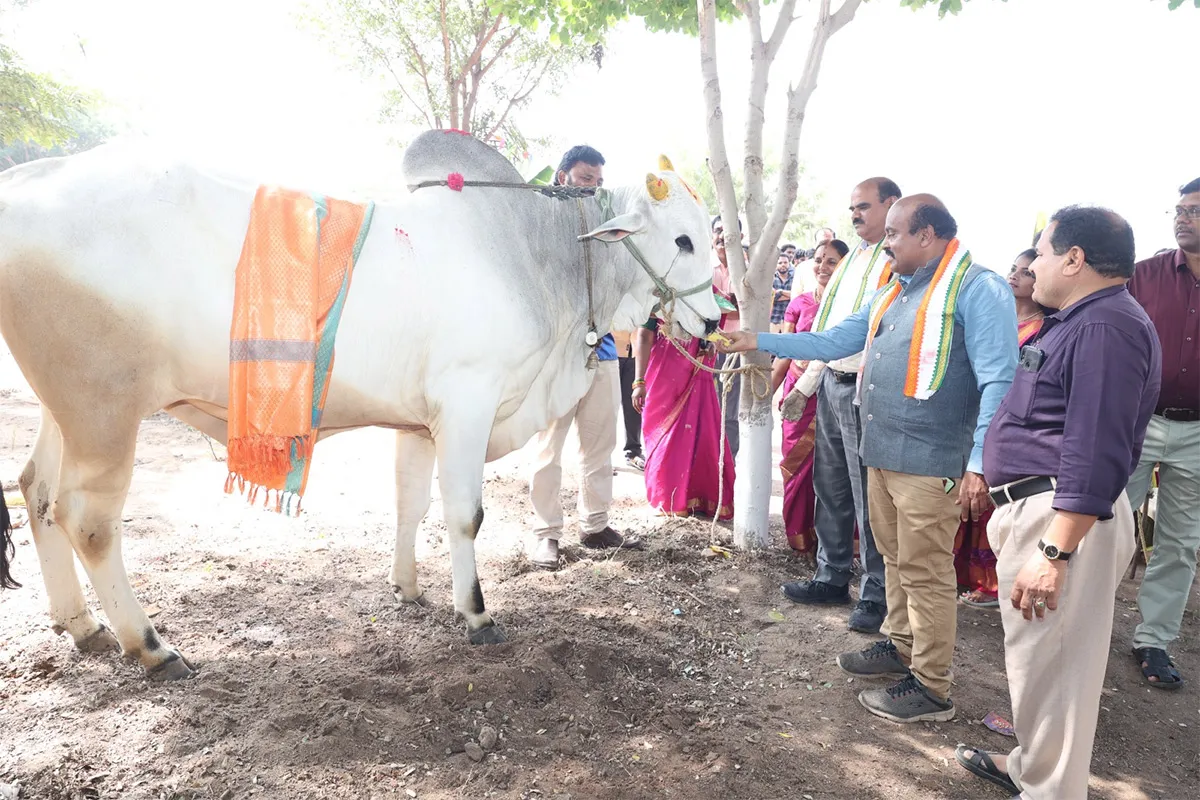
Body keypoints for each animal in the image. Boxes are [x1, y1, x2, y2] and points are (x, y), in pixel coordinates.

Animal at [0, 133, 720, 681]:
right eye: (683, 240)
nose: (716, 320)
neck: (541, 254)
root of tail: (26, 179)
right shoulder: (468, 400)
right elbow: (466, 515)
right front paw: (476, 613)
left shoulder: (421, 421)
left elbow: (412, 504)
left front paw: (407, 587)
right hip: (104, 406)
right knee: (88, 520)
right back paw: (150, 646)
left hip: (66, 408)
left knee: (37, 492)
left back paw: (82, 624)